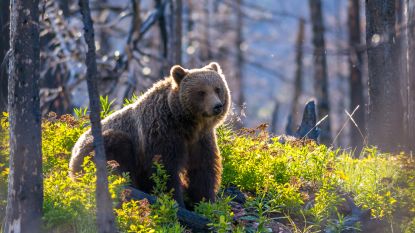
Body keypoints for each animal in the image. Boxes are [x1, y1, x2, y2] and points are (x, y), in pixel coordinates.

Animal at [69, 62, 231, 208]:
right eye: (201, 92)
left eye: (218, 89)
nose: (217, 106)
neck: (186, 123)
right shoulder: (162, 133)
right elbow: (164, 169)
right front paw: (176, 201)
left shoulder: (200, 139)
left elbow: (202, 169)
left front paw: (205, 202)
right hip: (96, 149)